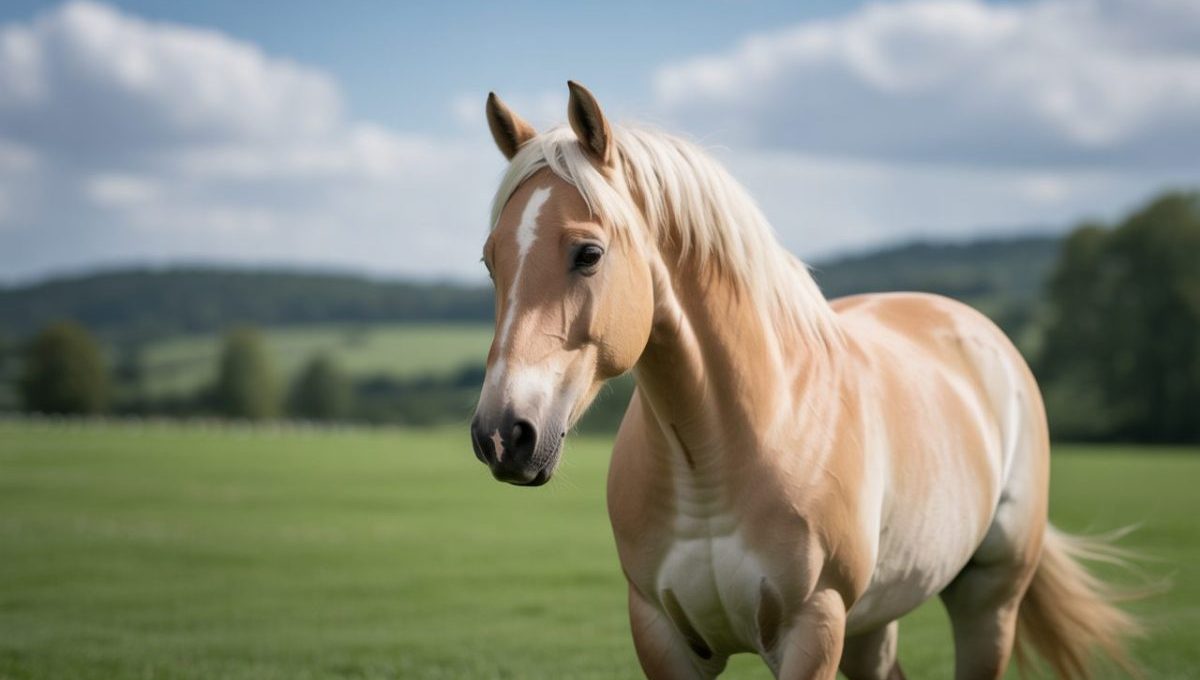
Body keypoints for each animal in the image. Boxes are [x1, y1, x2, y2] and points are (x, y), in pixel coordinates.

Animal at [468, 81, 1139, 680]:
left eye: (588, 254)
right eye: (491, 260)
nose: (502, 434)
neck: (719, 453)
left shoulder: (813, 628)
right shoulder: (662, 636)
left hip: (988, 601)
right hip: (875, 623)